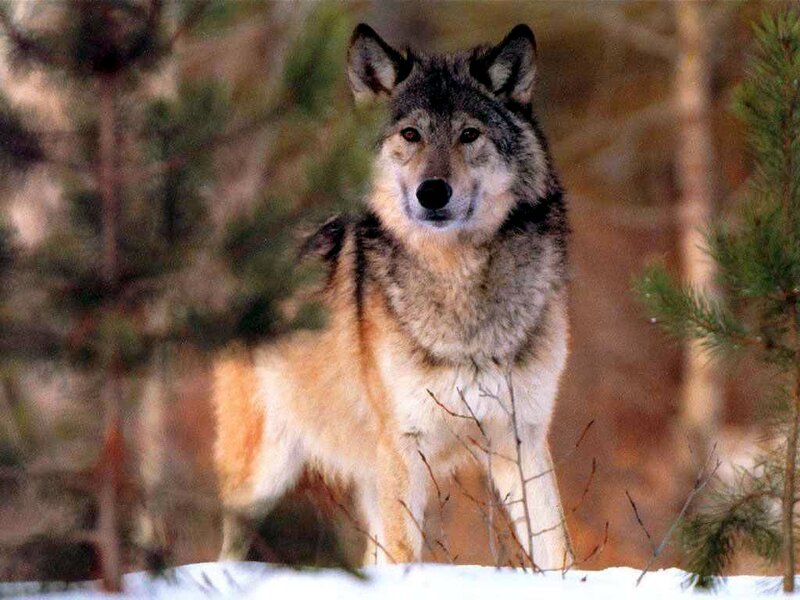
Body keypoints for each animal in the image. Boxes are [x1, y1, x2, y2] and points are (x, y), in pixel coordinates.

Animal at [213, 23, 572, 569]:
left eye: (469, 134)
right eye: (411, 135)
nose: (433, 192)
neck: (457, 282)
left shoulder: (523, 436)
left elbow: (558, 551)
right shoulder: (407, 443)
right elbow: (408, 552)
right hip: (262, 474)